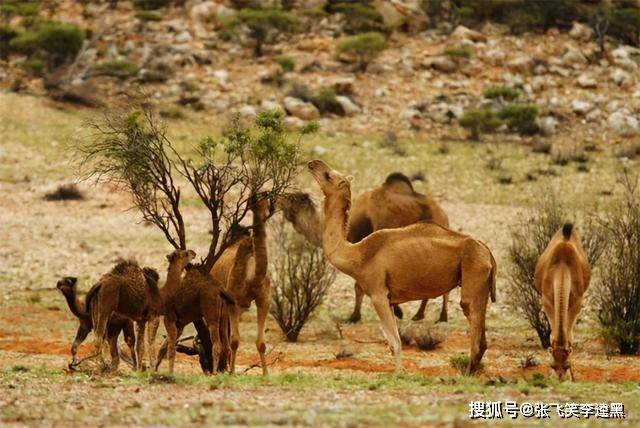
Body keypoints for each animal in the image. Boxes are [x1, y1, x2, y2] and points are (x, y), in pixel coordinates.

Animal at [210, 197, 270, 374]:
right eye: (253, 202)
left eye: (267, 202)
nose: (263, 215)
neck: (252, 277)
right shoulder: (233, 302)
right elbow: (234, 340)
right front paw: (231, 373)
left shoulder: (263, 301)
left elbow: (261, 343)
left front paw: (266, 374)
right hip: (219, 302)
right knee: (220, 334)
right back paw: (218, 369)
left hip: (241, 306)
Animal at [280, 172, 450, 322]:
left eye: (298, 198)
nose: (281, 198)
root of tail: (441, 215)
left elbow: (358, 286)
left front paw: (354, 316)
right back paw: (427, 315)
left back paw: (433, 316)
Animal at [306, 160, 496, 374]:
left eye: (329, 175)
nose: (312, 164)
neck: (357, 255)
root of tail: (487, 251)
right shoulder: (389, 299)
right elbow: (392, 341)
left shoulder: (378, 294)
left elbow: (395, 342)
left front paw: (399, 374)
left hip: (474, 275)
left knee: (473, 324)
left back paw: (466, 372)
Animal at [536, 224, 592, 382]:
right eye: (552, 365)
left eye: (567, 365)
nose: (560, 380)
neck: (562, 266)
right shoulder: (548, 302)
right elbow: (552, 335)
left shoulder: (576, 302)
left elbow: (570, 336)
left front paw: (573, 376)